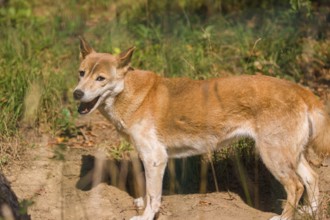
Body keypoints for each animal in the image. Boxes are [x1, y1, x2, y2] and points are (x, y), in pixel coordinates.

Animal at [73, 37, 328, 219]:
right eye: (81, 73)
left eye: (101, 78)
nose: (76, 93)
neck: (129, 92)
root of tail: (298, 88)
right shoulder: (148, 157)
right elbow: (148, 191)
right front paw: (142, 204)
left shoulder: (155, 157)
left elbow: (154, 194)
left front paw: (146, 216)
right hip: (290, 154)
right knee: (312, 178)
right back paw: (310, 212)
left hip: (273, 155)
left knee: (296, 186)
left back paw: (284, 217)